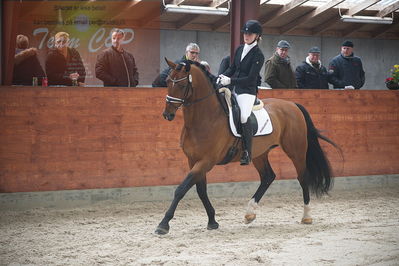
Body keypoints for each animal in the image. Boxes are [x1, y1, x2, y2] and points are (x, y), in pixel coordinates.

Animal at [156, 58, 340, 235]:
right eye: (167, 81)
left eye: (181, 85)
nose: (167, 114)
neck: (205, 118)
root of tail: (293, 105)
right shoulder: (194, 160)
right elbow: (201, 191)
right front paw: (212, 221)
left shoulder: (206, 161)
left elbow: (181, 189)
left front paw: (163, 224)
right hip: (259, 154)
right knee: (268, 176)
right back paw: (250, 213)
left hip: (296, 151)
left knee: (302, 178)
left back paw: (306, 216)